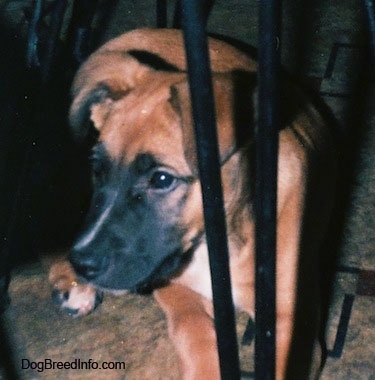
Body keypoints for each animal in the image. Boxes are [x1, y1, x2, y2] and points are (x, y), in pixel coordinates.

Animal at [48, 28, 336, 378]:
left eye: (161, 179)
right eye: (98, 170)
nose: (84, 264)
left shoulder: (290, 325)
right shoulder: (172, 283)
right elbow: (193, 327)